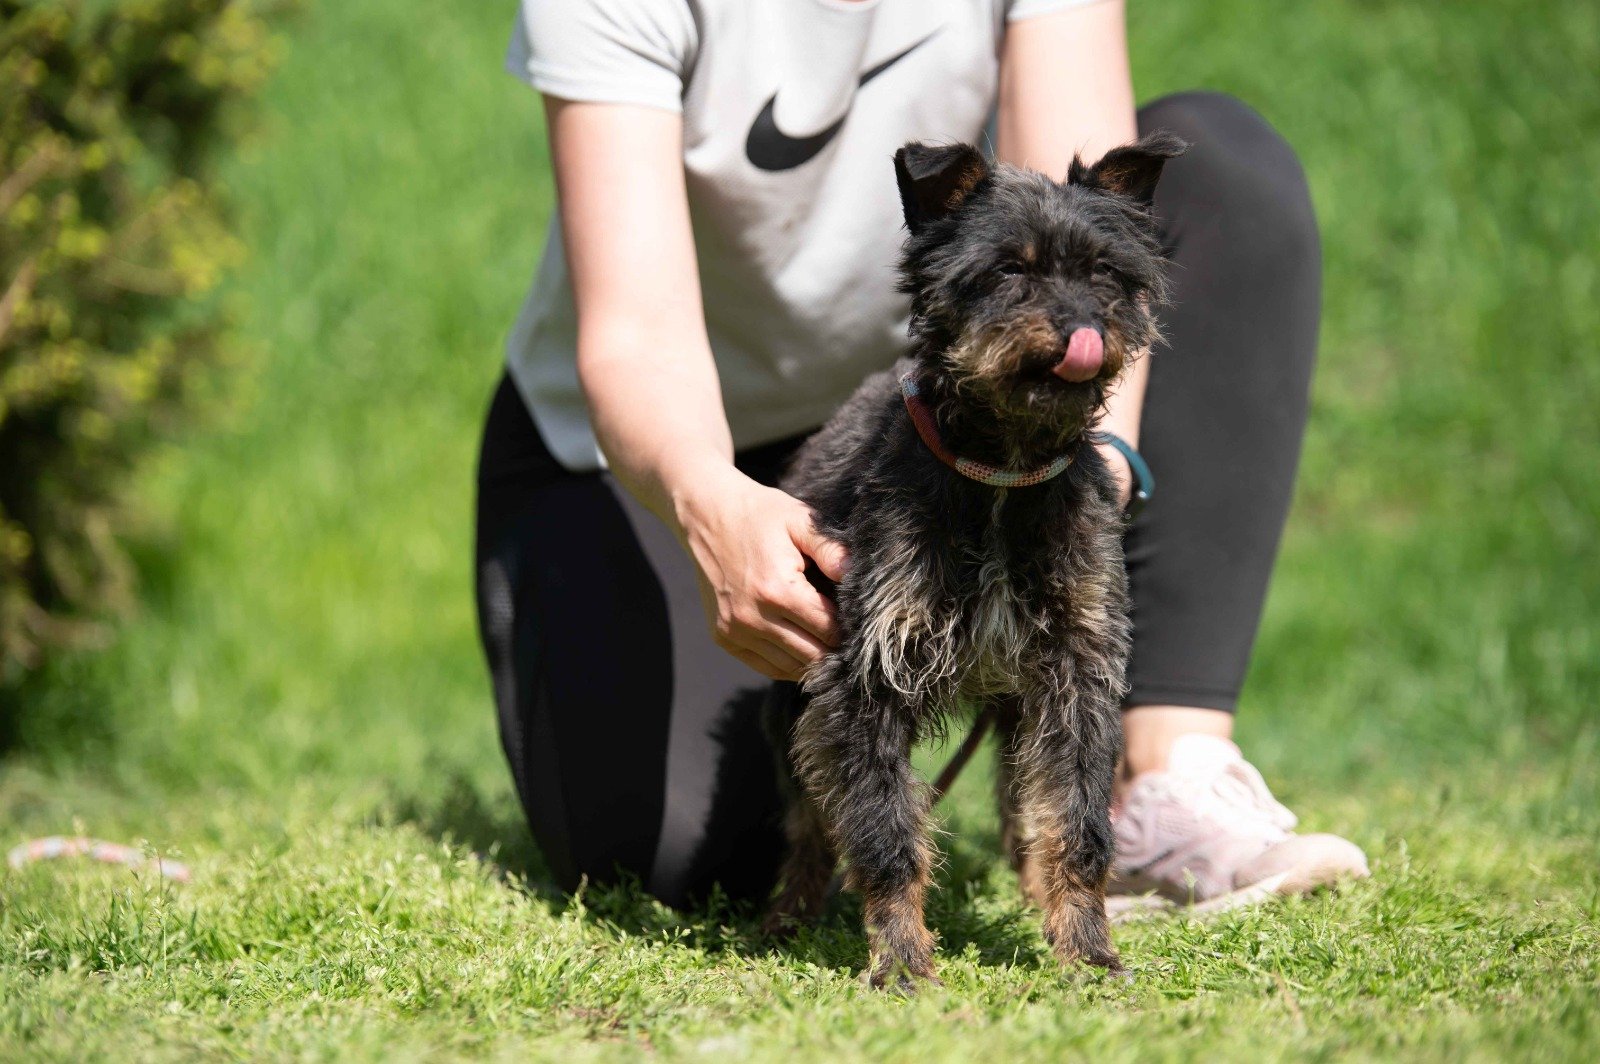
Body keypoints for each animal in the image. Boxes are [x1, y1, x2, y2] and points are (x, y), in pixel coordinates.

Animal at [763, 132, 1187, 989]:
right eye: (1007, 271)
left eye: (1104, 273)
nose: (1081, 327)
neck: (1002, 476)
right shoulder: (863, 679)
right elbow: (884, 831)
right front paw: (901, 959)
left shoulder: (1077, 674)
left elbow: (1076, 822)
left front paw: (1085, 947)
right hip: (789, 705)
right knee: (809, 820)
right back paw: (790, 911)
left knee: (1024, 804)